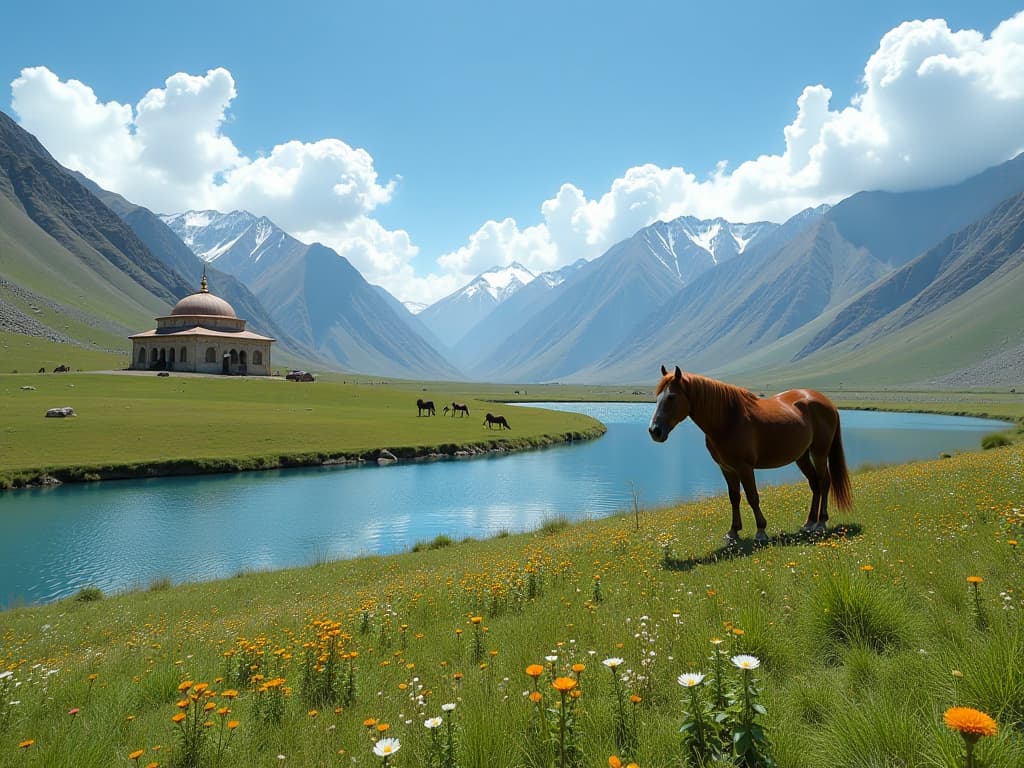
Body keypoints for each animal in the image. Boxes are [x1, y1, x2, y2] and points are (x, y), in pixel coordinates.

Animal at [647, 364, 856, 540]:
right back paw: (809, 522)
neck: (727, 420)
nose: (654, 431)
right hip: (802, 456)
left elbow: (752, 497)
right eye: (657, 397)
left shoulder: (745, 468)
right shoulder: (727, 468)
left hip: (819, 452)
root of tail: (827, 402)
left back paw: (821, 522)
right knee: (814, 484)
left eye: (671, 397)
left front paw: (761, 531)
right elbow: (734, 497)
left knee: (824, 481)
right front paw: (733, 531)